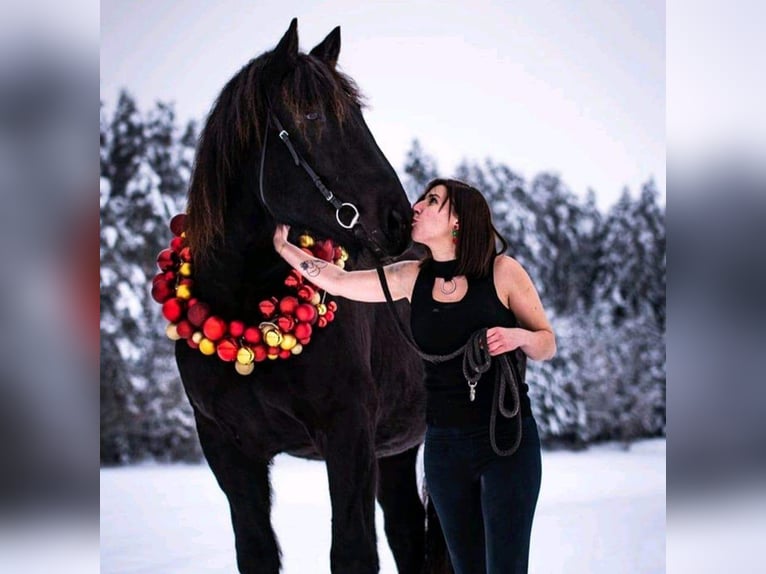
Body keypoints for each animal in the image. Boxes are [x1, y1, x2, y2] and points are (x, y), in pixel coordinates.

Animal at [174, 19, 450, 574]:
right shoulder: (228, 450)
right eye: (311, 114)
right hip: (395, 451)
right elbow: (256, 550)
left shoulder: (349, 436)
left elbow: (352, 551)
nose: (397, 218)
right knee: (407, 532)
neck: (244, 309)